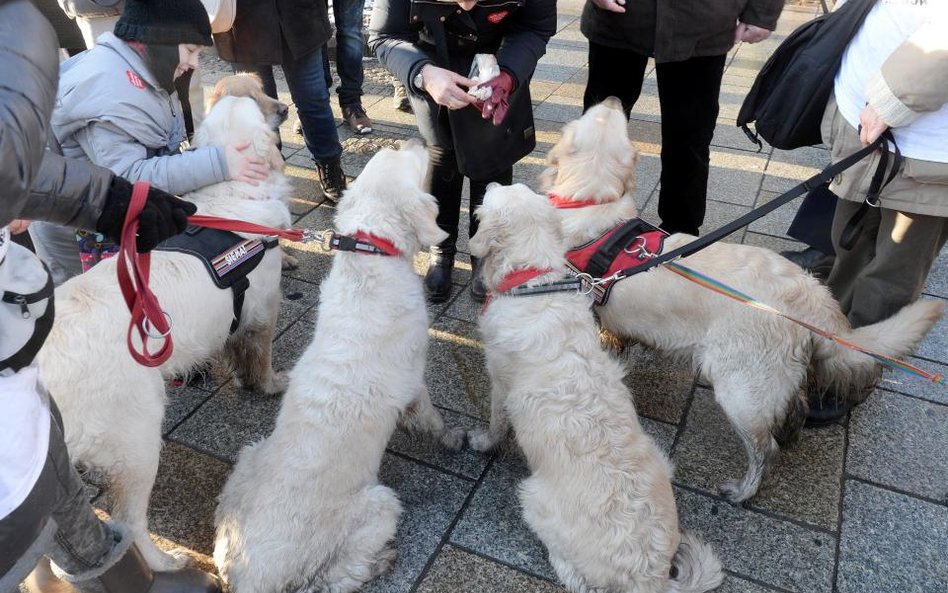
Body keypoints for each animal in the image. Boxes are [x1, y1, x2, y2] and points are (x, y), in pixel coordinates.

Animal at [37, 95, 290, 572]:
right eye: (262, 104)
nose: (285, 108)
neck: (229, 194)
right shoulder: (264, 308)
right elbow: (261, 354)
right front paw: (271, 384)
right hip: (137, 435)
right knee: (130, 522)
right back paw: (167, 563)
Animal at [215, 142, 466, 592]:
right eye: (411, 162)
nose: (409, 142)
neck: (371, 259)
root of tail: (251, 577)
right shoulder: (414, 381)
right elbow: (431, 418)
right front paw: (451, 438)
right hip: (378, 504)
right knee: (337, 576)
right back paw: (381, 561)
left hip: (247, 458)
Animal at [468, 182, 724, 592]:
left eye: (499, 193)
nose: (490, 183)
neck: (533, 283)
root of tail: (650, 575)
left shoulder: (498, 381)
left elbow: (495, 423)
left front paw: (482, 442)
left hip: (532, 496)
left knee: (572, 574)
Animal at [536, 98, 944, 504]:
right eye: (608, 116)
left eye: (595, 113)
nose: (614, 99)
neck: (592, 204)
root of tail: (809, 294)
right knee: (793, 410)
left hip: (741, 390)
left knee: (764, 449)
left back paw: (743, 490)